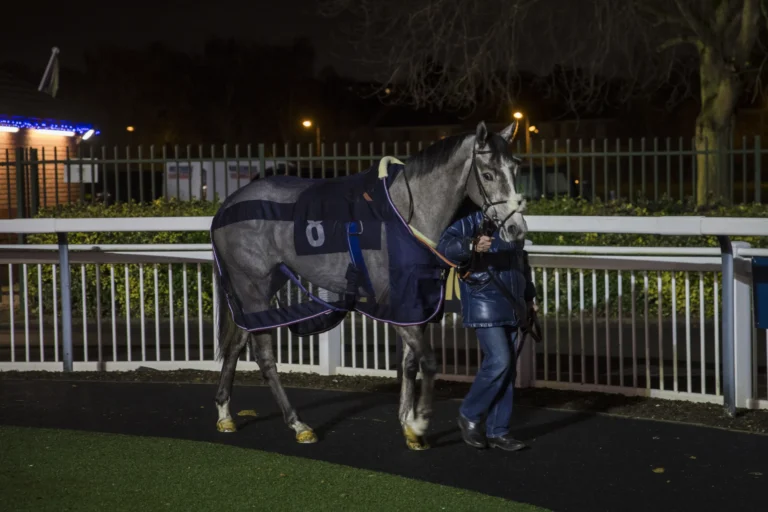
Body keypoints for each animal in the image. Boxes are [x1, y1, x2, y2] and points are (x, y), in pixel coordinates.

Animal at [210, 119, 528, 448]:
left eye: (515, 169)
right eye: (488, 174)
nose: (516, 229)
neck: (406, 215)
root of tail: (226, 205)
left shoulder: (415, 305)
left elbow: (409, 363)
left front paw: (408, 424)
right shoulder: (396, 305)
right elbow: (427, 361)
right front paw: (420, 422)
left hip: (262, 284)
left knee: (237, 342)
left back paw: (225, 414)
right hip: (253, 285)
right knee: (264, 356)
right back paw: (298, 424)